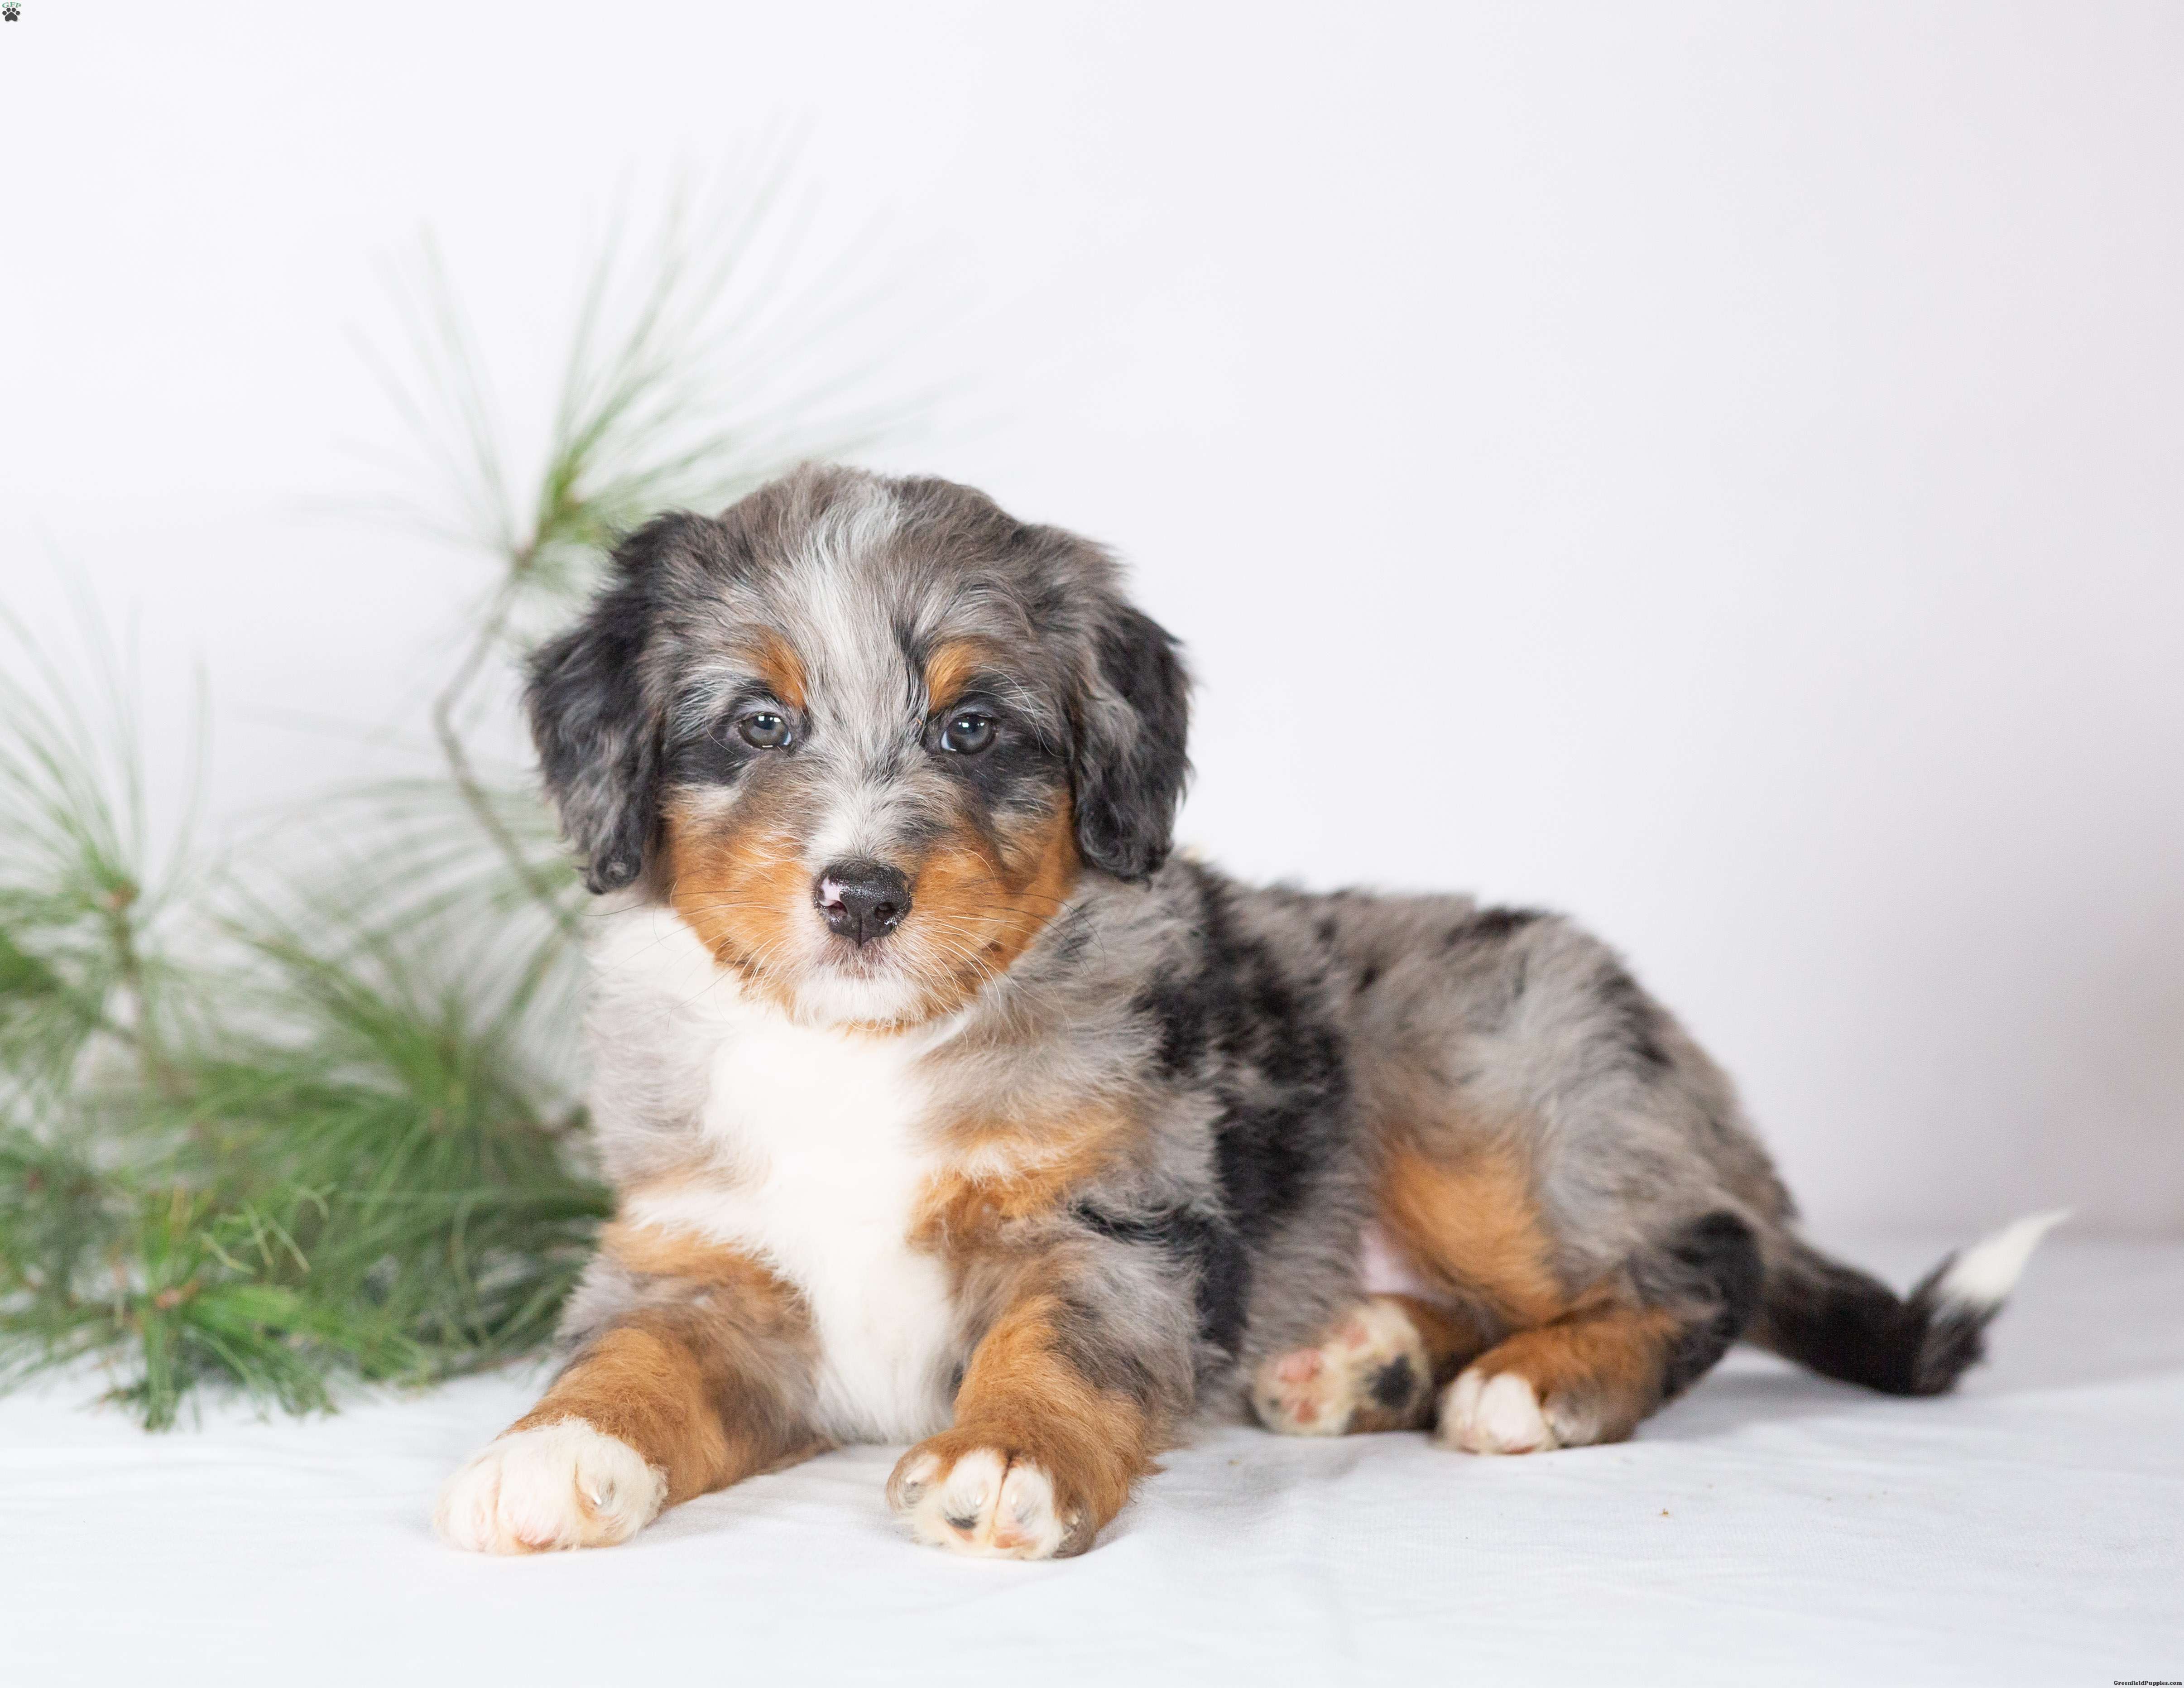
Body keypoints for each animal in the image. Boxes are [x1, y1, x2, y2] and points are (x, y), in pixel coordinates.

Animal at [434, 464, 2061, 1559]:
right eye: (756, 722)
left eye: (973, 726)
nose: (858, 894)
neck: (860, 1051)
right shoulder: (702, 1252)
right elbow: (630, 1356)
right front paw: (549, 1453)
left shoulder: (1120, 1223)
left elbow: (1057, 1345)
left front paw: (1004, 1457)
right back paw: (1367, 1355)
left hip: (1479, 1087)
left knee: (1700, 1257)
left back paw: (1528, 1382)